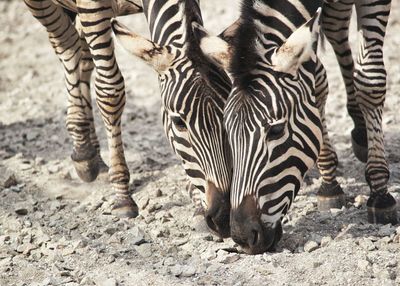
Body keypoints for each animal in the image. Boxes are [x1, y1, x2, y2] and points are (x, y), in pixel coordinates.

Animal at [24, 0, 231, 237]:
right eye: (178, 122)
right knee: (67, 45)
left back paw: (94, 155)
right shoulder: (91, 8)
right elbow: (109, 91)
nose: (224, 218)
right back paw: (83, 151)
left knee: (82, 52)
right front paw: (122, 197)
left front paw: (197, 203)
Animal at [195, 0, 396, 255]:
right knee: (336, 27)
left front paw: (380, 193)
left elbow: (369, 83)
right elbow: (318, 84)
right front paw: (329, 184)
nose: (243, 237)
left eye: (276, 130)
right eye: (227, 133)